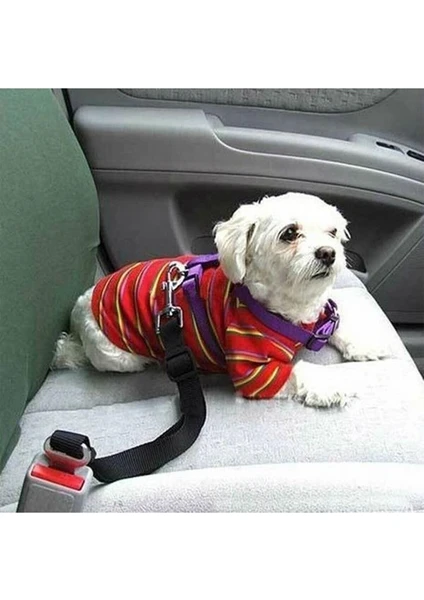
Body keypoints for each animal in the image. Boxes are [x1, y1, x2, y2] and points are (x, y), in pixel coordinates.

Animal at [53, 192, 390, 407]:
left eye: (332, 232)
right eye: (290, 233)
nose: (328, 253)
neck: (289, 309)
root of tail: (82, 303)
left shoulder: (319, 320)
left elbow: (340, 326)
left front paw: (366, 342)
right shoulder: (253, 366)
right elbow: (300, 371)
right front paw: (338, 383)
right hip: (117, 355)